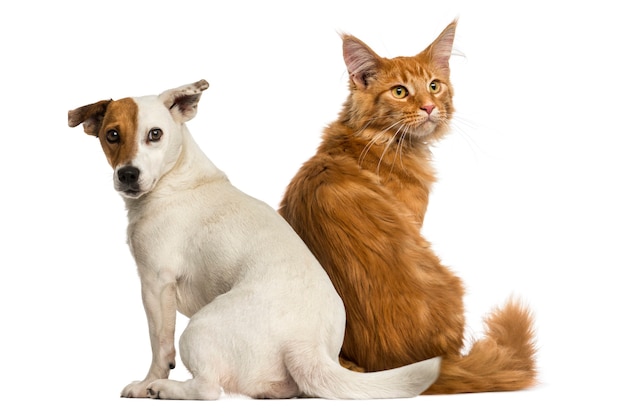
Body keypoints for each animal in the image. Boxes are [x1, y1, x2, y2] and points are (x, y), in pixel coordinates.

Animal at [67, 81, 438, 400]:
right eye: (112, 135)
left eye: (154, 134)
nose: (127, 174)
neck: (176, 179)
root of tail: (305, 345)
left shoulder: (156, 284)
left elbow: (159, 345)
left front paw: (147, 383)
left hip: (198, 328)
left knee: (208, 389)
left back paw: (166, 389)